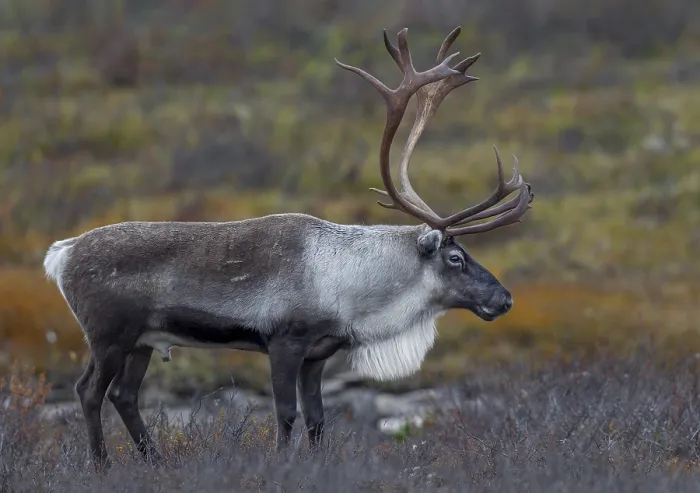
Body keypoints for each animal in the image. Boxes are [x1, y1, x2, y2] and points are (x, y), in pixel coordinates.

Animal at [43, 26, 534, 473]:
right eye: (456, 258)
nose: (505, 298)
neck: (351, 284)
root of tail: (61, 253)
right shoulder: (284, 341)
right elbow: (286, 413)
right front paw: (282, 465)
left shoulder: (318, 354)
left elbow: (317, 418)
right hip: (108, 336)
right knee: (89, 391)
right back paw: (102, 465)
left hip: (142, 341)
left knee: (124, 395)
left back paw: (157, 463)